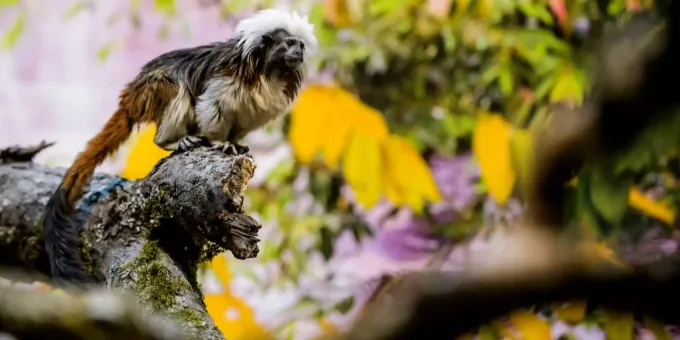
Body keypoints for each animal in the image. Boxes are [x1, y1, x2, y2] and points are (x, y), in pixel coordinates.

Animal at [41, 8, 318, 286]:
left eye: (300, 45)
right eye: (289, 44)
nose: (299, 52)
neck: (268, 73)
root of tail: (132, 96)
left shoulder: (260, 106)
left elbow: (242, 123)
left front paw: (236, 143)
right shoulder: (227, 79)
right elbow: (212, 107)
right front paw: (221, 142)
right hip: (153, 90)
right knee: (178, 89)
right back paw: (172, 139)